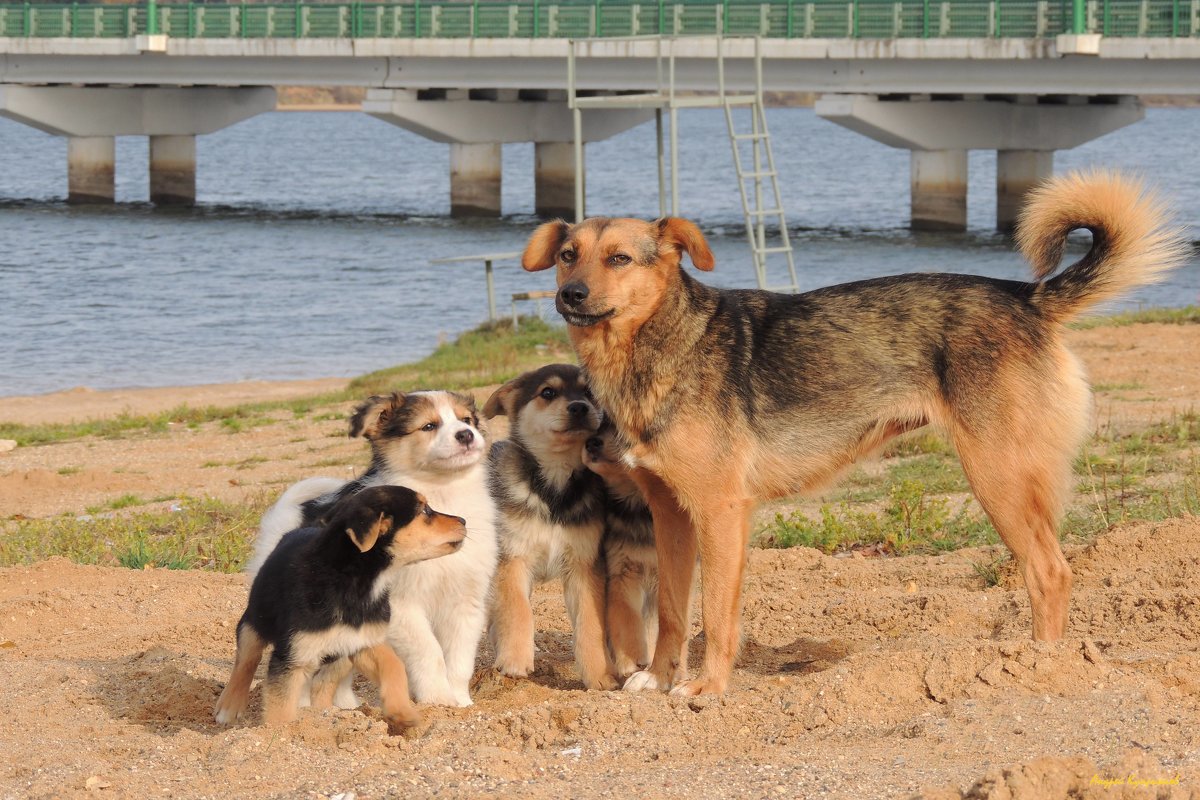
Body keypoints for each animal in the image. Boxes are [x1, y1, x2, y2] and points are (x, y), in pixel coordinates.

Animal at [213, 484, 465, 734]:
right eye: (425, 511)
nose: (463, 520)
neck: (353, 582)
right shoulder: (292, 658)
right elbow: (280, 708)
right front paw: (278, 733)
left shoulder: (362, 641)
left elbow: (394, 664)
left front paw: (402, 713)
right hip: (255, 620)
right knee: (246, 660)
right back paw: (229, 707)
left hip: (339, 655)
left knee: (323, 686)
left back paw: (324, 715)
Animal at [248, 388, 496, 705]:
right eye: (429, 425)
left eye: (466, 420)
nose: (466, 434)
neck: (445, 491)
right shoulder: (400, 606)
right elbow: (429, 652)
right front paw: (437, 699)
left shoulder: (467, 599)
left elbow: (459, 658)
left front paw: (460, 701)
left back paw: (345, 708)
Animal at [484, 362, 614, 690]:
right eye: (547, 393)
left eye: (588, 391)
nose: (579, 407)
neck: (554, 488)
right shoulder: (513, 559)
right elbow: (517, 610)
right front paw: (515, 659)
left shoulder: (584, 565)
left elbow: (591, 624)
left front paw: (599, 675)